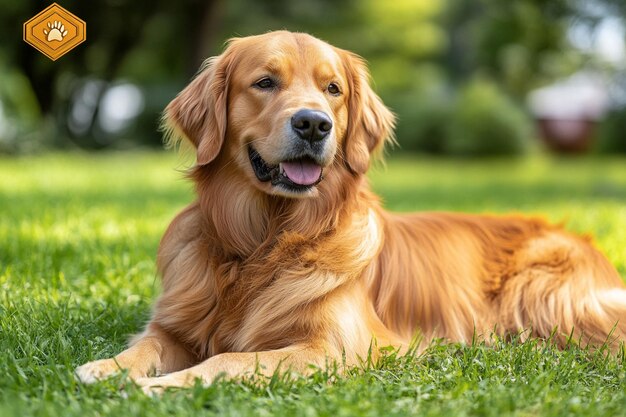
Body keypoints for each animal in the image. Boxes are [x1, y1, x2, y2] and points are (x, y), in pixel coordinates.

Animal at [77, 30, 624, 392]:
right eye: (264, 82)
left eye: (333, 89)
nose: (314, 124)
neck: (264, 243)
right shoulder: (175, 324)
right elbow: (147, 345)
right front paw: (105, 368)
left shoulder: (332, 348)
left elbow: (229, 360)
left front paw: (159, 388)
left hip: (545, 293)